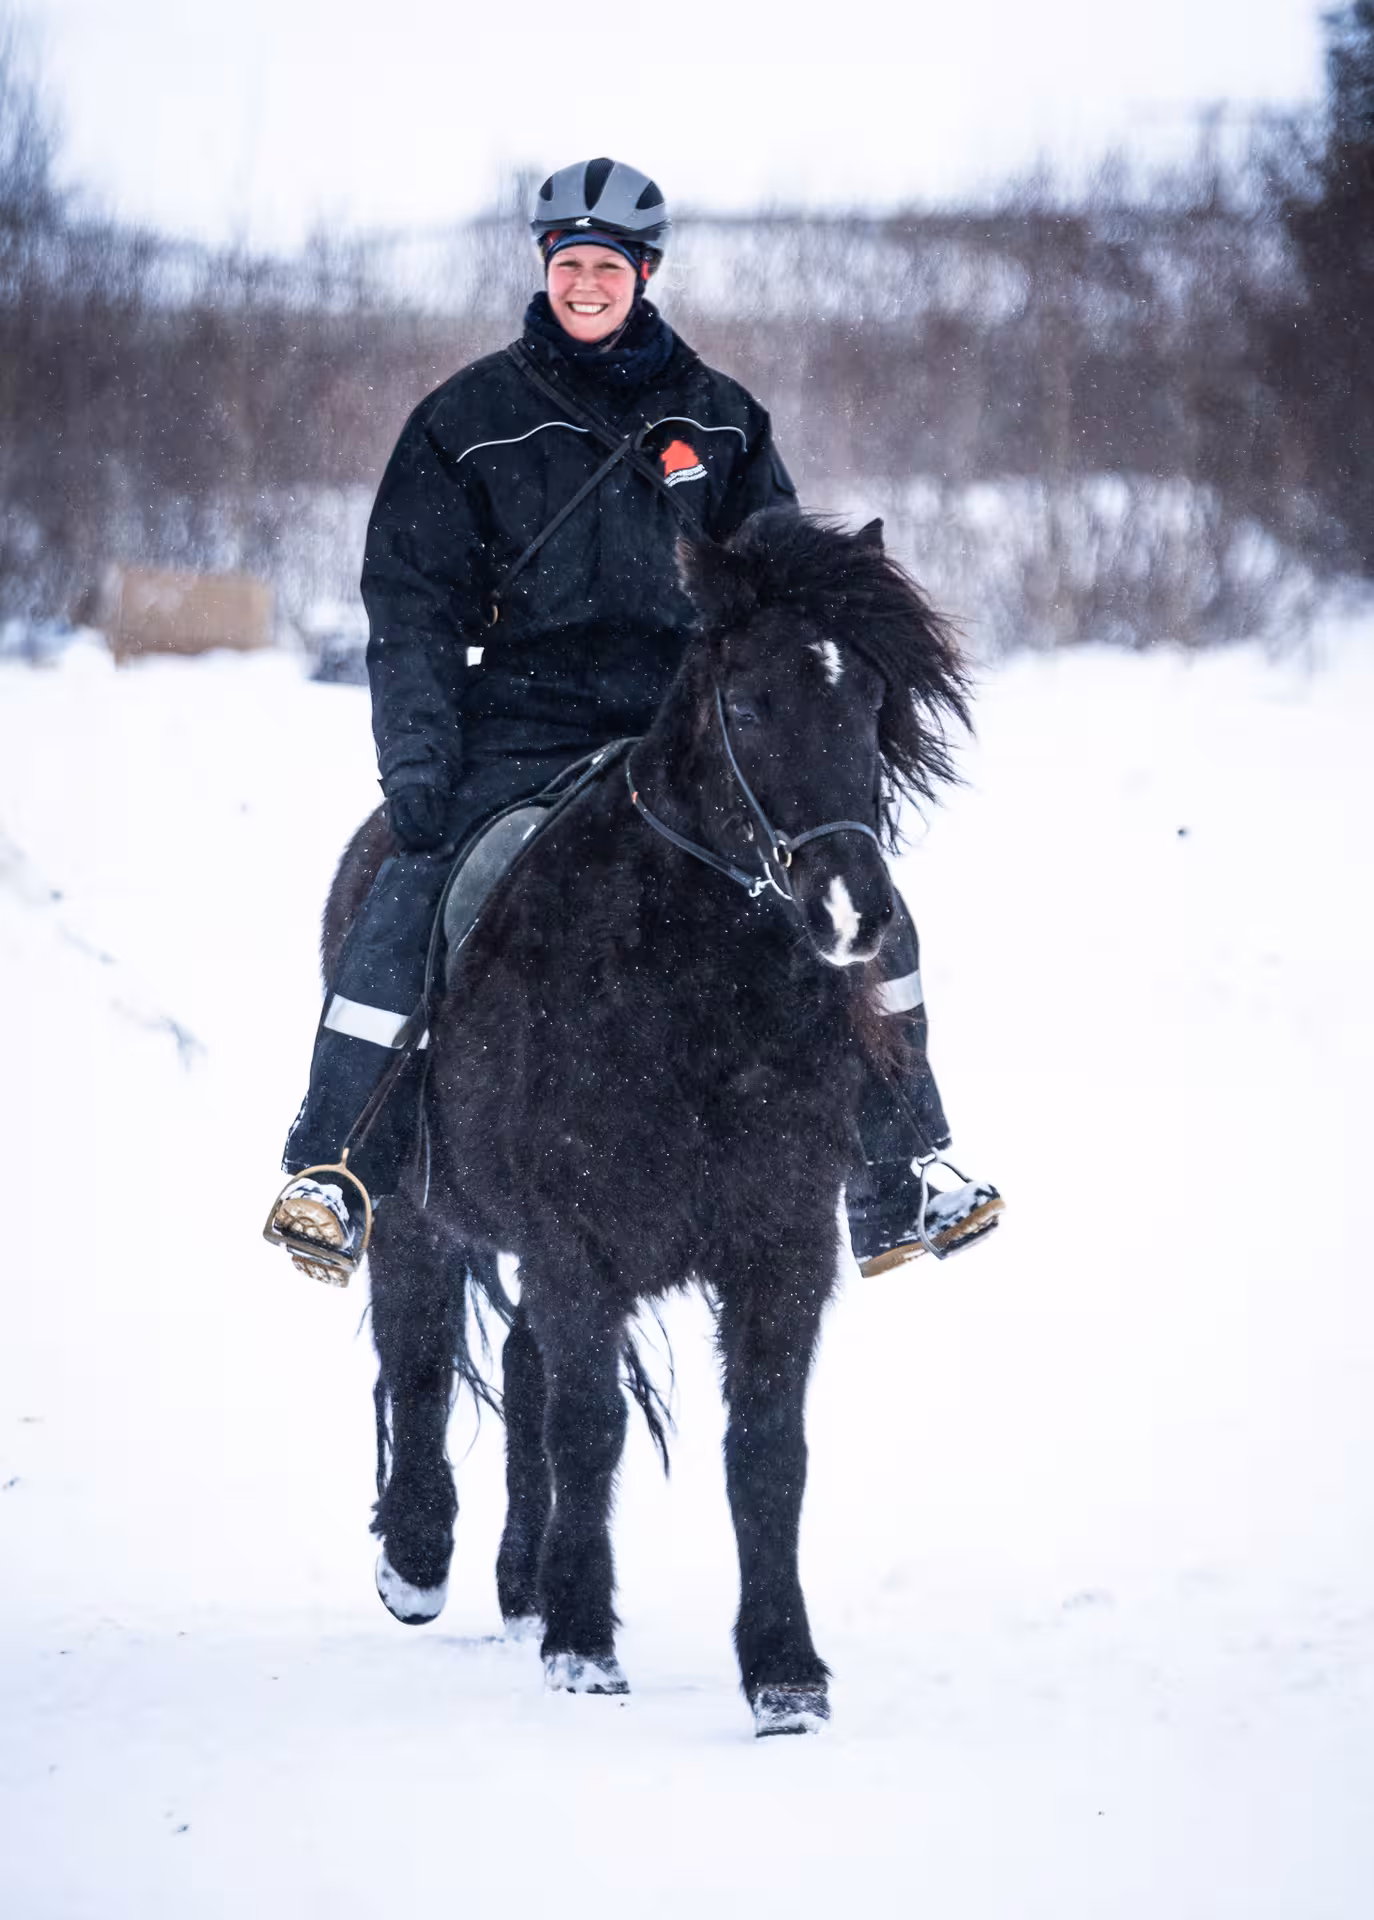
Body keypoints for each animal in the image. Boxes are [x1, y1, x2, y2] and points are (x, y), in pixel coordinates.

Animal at [325, 509, 970, 1735]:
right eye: (751, 703)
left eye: (869, 699)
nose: (855, 912)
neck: (689, 997)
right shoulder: (576, 1242)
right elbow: (588, 1428)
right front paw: (585, 1648)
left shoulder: (781, 1244)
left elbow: (765, 1450)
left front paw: (784, 1673)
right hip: (415, 1212)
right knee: (419, 1352)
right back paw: (417, 1563)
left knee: (517, 1370)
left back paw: (519, 1581)